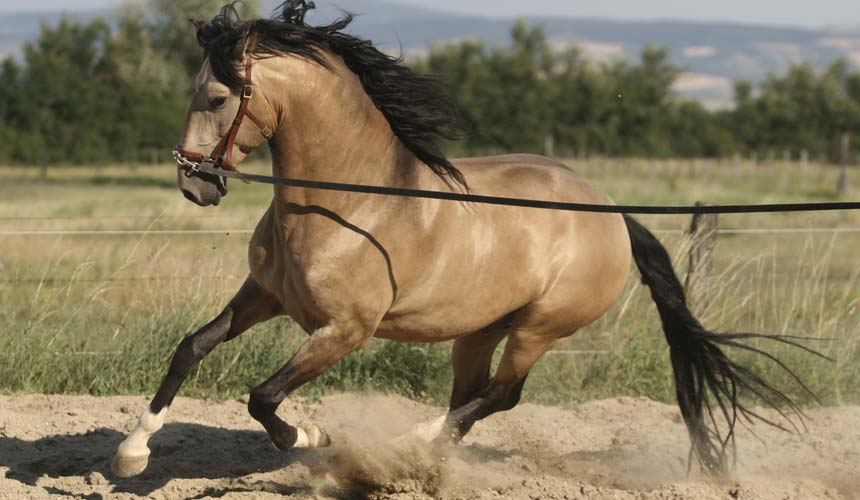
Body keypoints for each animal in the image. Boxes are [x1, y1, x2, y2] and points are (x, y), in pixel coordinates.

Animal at [111, 0, 816, 480]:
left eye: (217, 96)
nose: (193, 183)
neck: (345, 204)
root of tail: (613, 214)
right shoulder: (265, 295)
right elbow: (192, 347)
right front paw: (132, 452)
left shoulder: (345, 331)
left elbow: (264, 397)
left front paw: (311, 437)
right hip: (478, 331)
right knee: (472, 395)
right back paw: (418, 465)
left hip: (539, 329)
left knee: (501, 395)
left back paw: (405, 446)